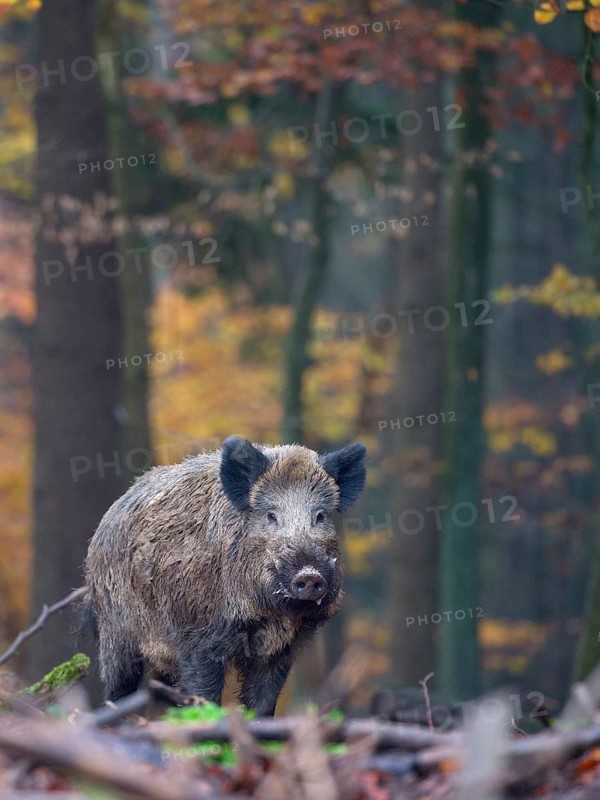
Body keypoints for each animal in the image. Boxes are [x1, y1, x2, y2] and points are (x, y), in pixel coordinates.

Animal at [83, 436, 366, 715]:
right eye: (271, 515)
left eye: (321, 515)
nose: (309, 575)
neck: (267, 614)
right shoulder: (197, 640)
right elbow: (204, 696)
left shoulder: (280, 650)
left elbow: (263, 705)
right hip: (116, 636)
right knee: (118, 688)